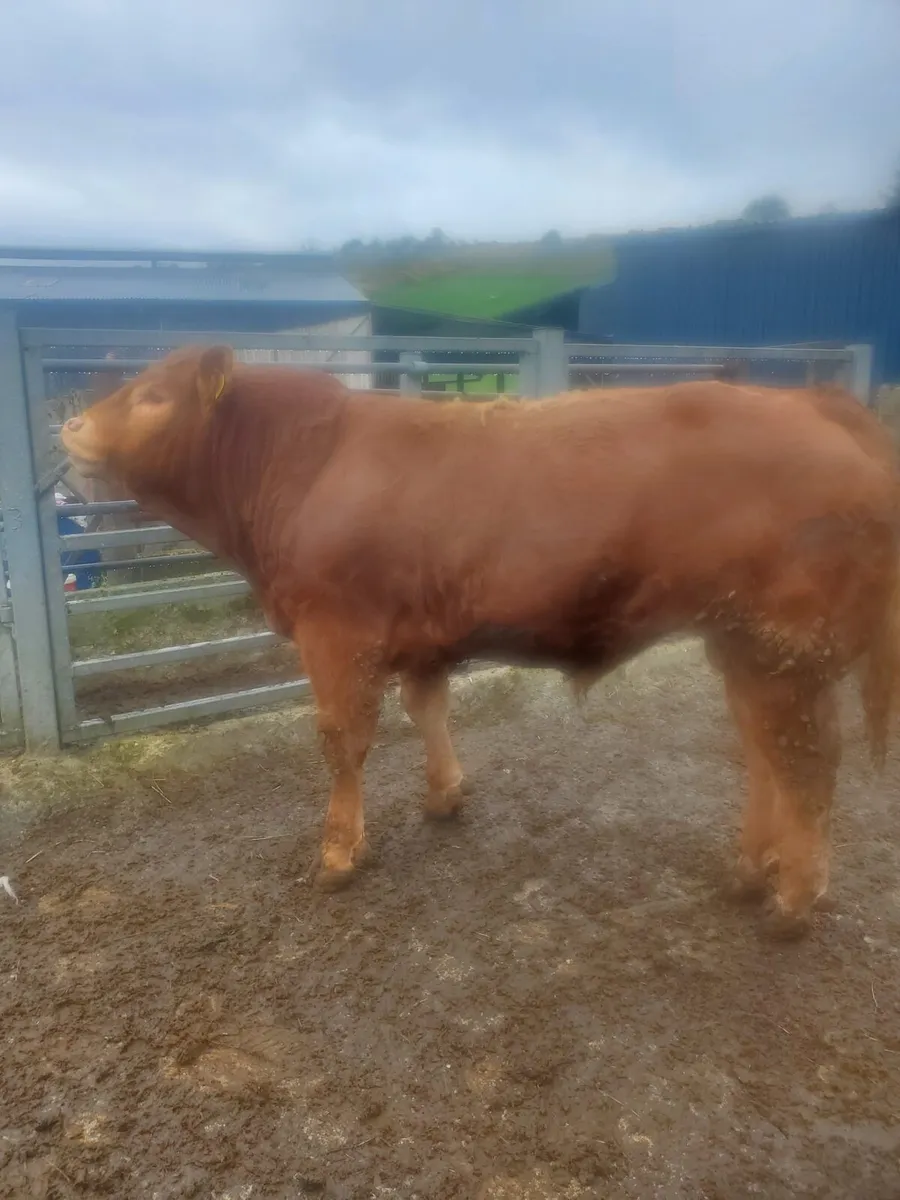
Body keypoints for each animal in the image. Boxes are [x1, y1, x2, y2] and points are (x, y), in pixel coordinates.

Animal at [60, 345, 900, 939]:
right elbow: (426, 707)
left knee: (806, 763)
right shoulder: (417, 633)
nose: (68, 425)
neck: (306, 464)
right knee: (765, 751)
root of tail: (814, 401)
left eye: (154, 395)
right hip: (745, 643)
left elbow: (342, 740)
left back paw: (793, 901)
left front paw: (338, 852)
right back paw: (752, 871)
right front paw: (445, 796)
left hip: (785, 646)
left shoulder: (335, 631)